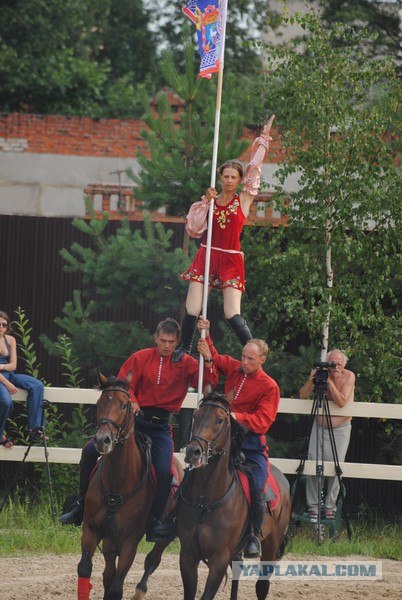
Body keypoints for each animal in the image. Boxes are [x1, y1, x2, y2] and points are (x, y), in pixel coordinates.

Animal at [76, 376, 183, 600]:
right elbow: (85, 569)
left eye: (124, 405)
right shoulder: (91, 530)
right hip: (109, 538)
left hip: (166, 535)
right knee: (108, 571)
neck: (117, 482)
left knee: (152, 560)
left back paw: (140, 591)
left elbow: (117, 587)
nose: (102, 440)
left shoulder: (130, 541)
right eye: (99, 403)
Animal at [177, 394, 290, 600]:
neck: (205, 500)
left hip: (270, 547)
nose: (193, 452)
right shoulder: (187, 556)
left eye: (220, 420)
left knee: (262, 586)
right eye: (196, 416)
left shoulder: (219, 559)